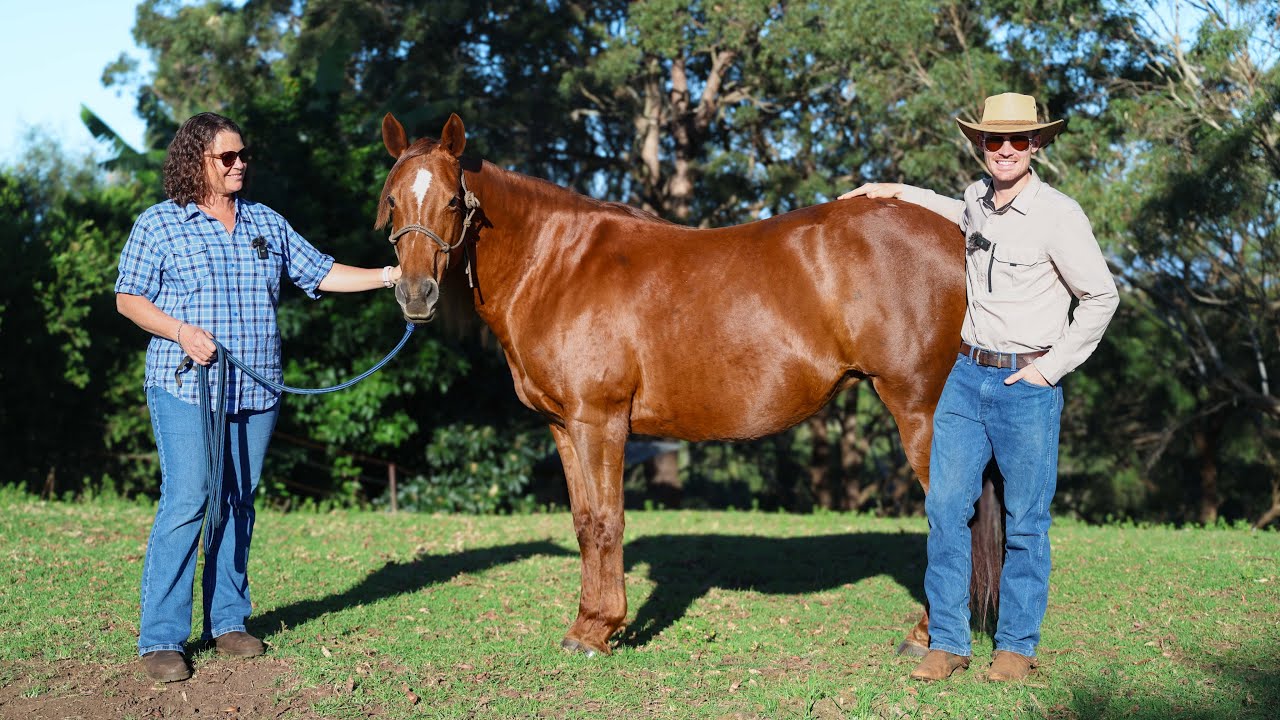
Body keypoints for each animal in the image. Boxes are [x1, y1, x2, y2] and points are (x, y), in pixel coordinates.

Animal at [375, 112, 1001, 657]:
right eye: (393, 199)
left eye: (452, 201)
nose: (415, 295)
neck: (557, 265)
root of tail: (957, 238)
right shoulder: (563, 425)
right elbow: (583, 523)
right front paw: (585, 623)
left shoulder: (599, 420)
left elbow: (606, 522)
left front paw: (599, 630)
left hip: (922, 412)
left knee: (955, 518)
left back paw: (925, 636)